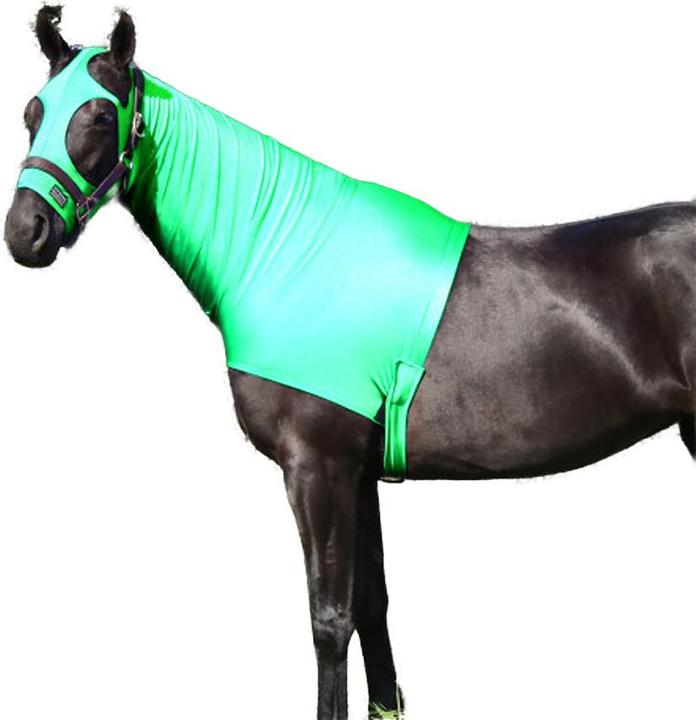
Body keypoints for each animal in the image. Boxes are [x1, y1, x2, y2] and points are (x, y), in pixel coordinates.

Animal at [4, 7, 695, 720]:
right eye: (32, 112)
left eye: (99, 116)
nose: (25, 232)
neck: (282, 251)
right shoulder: (359, 474)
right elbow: (371, 604)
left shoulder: (318, 466)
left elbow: (330, 620)